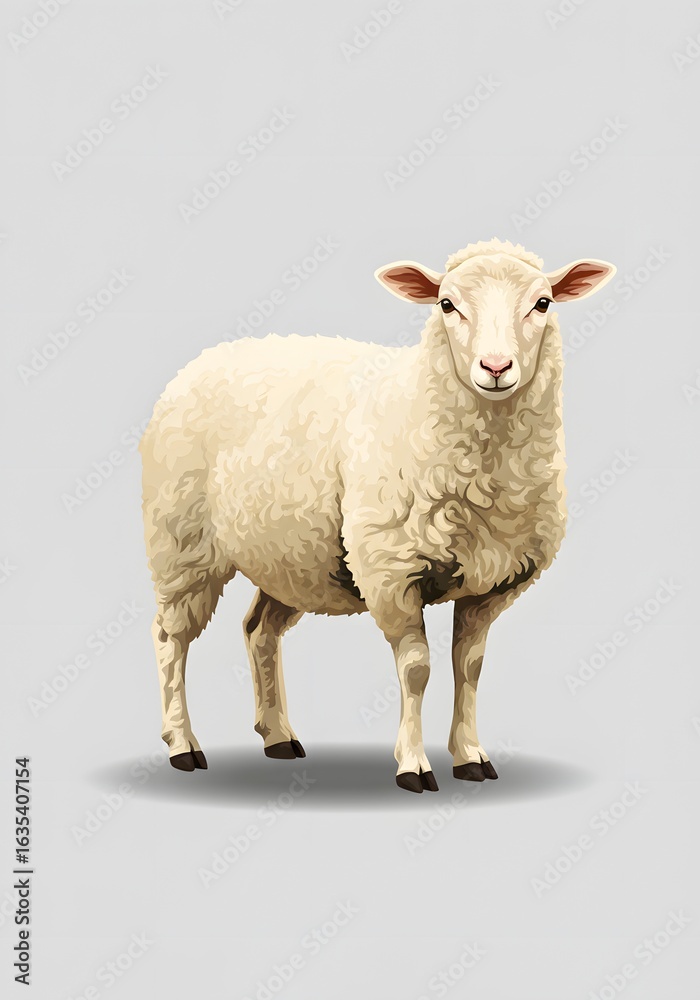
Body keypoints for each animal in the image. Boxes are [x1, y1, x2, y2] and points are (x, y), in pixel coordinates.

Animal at [140, 238, 615, 793]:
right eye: (446, 304)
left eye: (542, 304)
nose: (496, 367)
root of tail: (202, 359)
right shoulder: (391, 571)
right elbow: (417, 670)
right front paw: (413, 765)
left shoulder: (492, 582)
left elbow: (469, 667)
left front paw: (470, 756)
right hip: (183, 542)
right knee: (171, 637)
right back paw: (182, 744)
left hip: (291, 555)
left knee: (259, 630)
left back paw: (277, 736)